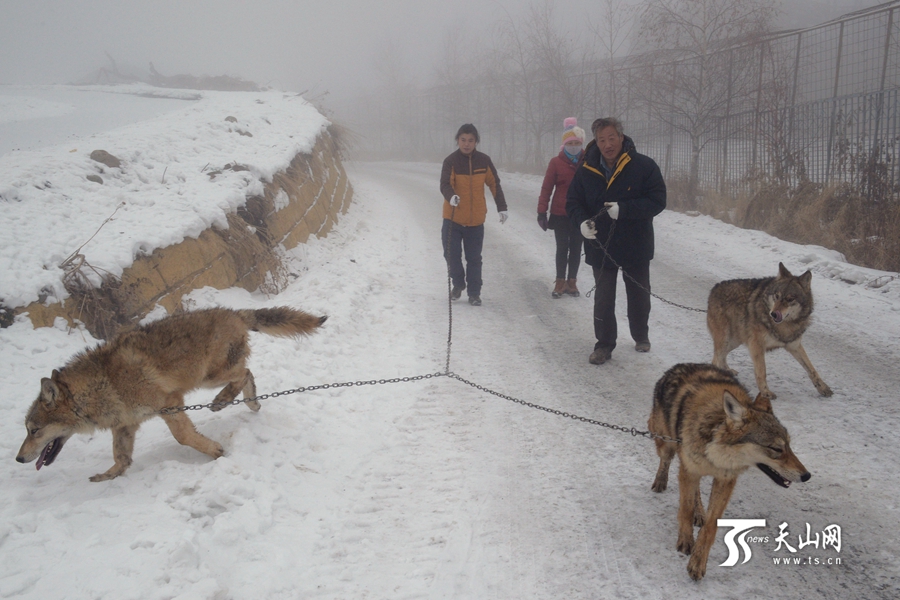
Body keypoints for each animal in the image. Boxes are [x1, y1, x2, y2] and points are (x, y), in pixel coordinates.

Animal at [15, 310, 326, 482]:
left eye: (34, 430)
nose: (18, 459)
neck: (102, 386)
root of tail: (234, 311)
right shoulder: (125, 425)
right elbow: (121, 457)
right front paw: (109, 475)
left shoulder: (170, 404)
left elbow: (183, 436)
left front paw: (215, 452)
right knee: (248, 375)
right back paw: (250, 403)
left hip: (209, 377)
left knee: (245, 373)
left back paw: (223, 401)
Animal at [648, 360, 808, 580]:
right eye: (776, 448)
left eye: (789, 445)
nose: (807, 476)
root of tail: (679, 365)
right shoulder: (689, 469)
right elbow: (685, 509)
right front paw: (686, 541)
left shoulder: (726, 480)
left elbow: (711, 526)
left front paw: (698, 563)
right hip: (667, 444)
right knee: (666, 461)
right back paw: (661, 482)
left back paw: (700, 513)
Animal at [712, 262, 828, 398]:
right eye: (777, 296)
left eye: (790, 299)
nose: (773, 314)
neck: (785, 326)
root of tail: (715, 286)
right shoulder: (756, 345)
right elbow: (761, 371)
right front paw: (765, 392)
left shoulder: (794, 345)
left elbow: (811, 368)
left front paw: (824, 388)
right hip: (726, 340)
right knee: (716, 359)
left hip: (735, 342)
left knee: (722, 357)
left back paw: (728, 371)